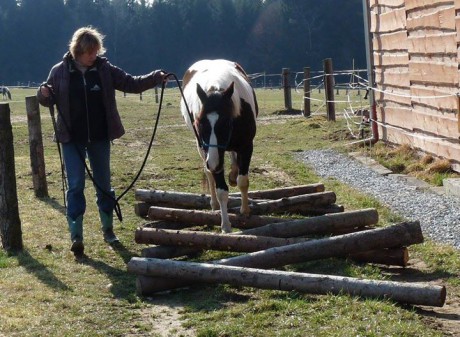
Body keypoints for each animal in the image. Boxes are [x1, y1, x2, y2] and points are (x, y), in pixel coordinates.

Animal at [181, 59, 258, 232]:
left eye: (227, 123)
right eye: (199, 123)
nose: (213, 163)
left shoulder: (246, 146)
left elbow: (243, 181)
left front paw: (245, 210)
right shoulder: (210, 152)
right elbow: (221, 190)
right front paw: (226, 225)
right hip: (202, 149)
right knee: (209, 175)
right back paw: (214, 203)